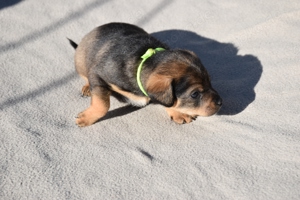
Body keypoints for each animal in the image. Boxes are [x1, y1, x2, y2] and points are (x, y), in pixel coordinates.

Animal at [69, 22, 221, 126]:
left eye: (210, 82)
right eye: (194, 94)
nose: (220, 102)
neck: (145, 60)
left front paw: (178, 112)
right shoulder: (98, 75)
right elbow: (102, 104)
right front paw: (87, 117)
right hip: (81, 63)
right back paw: (87, 87)